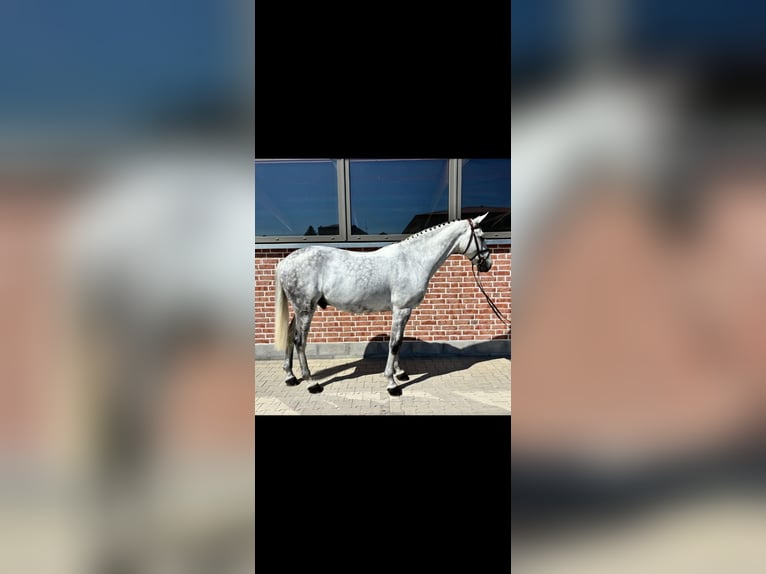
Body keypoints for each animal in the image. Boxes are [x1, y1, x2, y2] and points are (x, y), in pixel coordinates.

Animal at [273, 213, 492, 396]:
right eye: (481, 236)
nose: (487, 264)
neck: (413, 260)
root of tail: (285, 262)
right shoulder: (401, 310)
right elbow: (394, 344)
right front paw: (392, 383)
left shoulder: (404, 310)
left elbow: (399, 341)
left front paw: (400, 372)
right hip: (305, 308)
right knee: (299, 341)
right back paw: (311, 383)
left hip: (300, 308)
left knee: (291, 334)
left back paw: (290, 376)